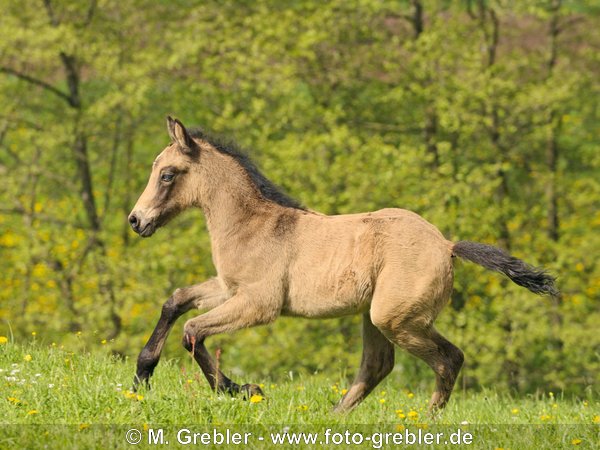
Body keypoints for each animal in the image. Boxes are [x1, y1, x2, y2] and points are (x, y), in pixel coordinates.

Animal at [127, 118, 556, 414]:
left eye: (167, 174)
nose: (136, 220)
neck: (253, 225)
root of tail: (447, 245)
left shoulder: (259, 304)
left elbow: (192, 332)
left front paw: (244, 390)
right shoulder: (229, 288)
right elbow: (175, 302)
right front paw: (141, 376)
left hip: (395, 319)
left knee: (448, 359)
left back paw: (424, 420)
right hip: (376, 317)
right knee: (378, 365)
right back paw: (335, 417)